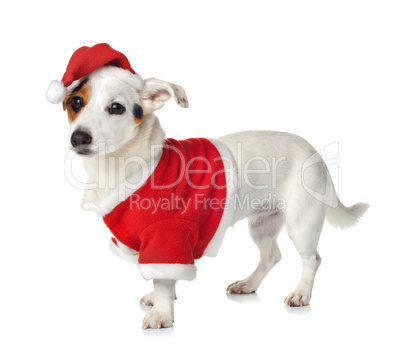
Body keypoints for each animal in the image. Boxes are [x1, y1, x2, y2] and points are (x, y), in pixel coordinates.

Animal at [46, 44, 368, 330]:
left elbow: (163, 279)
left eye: (116, 108)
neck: (123, 165)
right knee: (271, 256)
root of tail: (314, 151)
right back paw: (249, 284)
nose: (78, 138)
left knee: (312, 259)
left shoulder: (168, 236)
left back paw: (301, 293)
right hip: (262, 225)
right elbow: (165, 277)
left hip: (302, 224)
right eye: (75, 103)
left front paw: (163, 313)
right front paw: (162, 300)